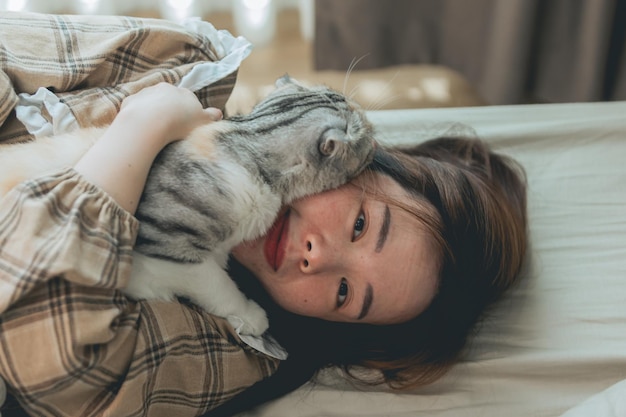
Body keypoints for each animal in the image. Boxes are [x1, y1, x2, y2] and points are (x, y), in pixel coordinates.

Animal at [0, 75, 376, 334]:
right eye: (366, 132)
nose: (371, 119)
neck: (248, 140)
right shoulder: (172, 250)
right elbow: (217, 284)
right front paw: (251, 317)